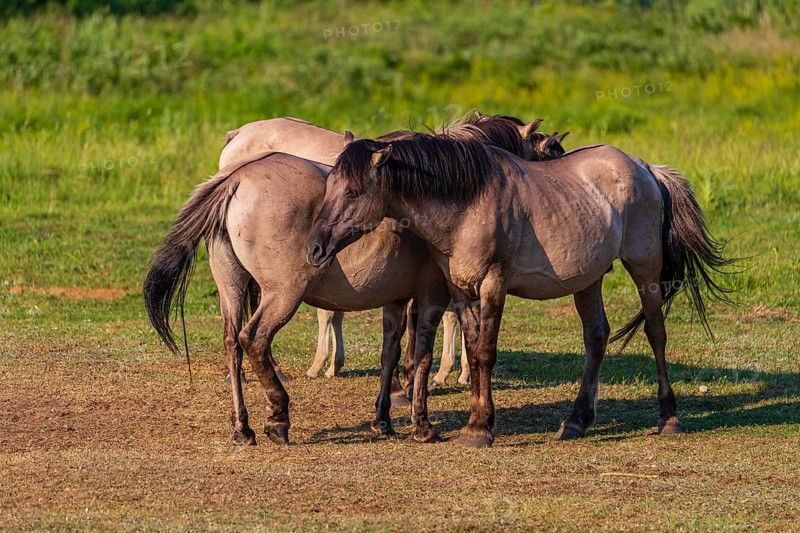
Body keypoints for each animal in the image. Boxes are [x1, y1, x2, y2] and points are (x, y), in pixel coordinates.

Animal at [143, 114, 561, 445]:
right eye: (548, 156)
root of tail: (238, 178)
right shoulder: (430, 296)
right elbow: (420, 354)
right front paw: (421, 422)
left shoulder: (398, 298)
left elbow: (391, 352)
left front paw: (385, 416)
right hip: (282, 295)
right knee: (254, 340)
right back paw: (278, 416)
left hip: (232, 288)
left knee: (232, 345)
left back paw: (242, 428)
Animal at [305, 133, 733, 447]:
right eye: (330, 186)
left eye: (353, 192)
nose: (314, 248)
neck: (468, 203)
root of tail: (645, 168)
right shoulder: (462, 289)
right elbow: (473, 348)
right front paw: (477, 421)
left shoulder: (493, 283)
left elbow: (485, 353)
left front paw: (480, 428)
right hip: (589, 279)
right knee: (596, 338)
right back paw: (576, 422)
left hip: (645, 268)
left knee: (656, 333)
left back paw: (669, 418)